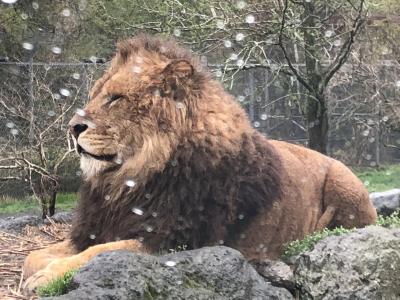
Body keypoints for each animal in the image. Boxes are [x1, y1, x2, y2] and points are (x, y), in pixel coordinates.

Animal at [22, 34, 378, 290]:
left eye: (116, 99)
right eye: (95, 95)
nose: (72, 127)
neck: (127, 182)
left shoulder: (171, 244)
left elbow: (99, 253)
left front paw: (47, 277)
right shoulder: (94, 228)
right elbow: (36, 255)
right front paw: (38, 269)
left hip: (344, 183)